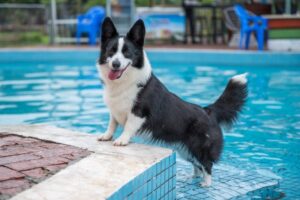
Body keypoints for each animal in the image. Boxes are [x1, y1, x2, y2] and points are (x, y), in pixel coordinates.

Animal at [97, 17, 247, 188]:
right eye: (111, 51)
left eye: (126, 52)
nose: (115, 64)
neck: (125, 81)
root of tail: (208, 111)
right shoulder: (114, 109)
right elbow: (112, 124)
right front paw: (106, 136)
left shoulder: (138, 113)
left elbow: (128, 126)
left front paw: (121, 140)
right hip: (186, 150)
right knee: (197, 166)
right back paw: (193, 178)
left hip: (199, 146)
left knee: (207, 164)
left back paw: (206, 184)